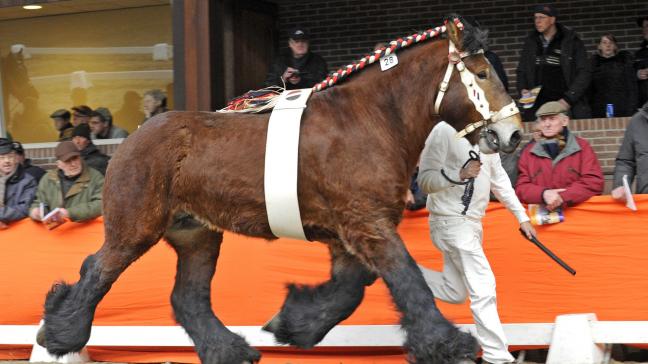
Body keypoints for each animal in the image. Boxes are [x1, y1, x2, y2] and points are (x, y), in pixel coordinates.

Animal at [40, 15, 524, 362]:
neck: (370, 121)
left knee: (187, 297)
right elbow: (406, 278)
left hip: (196, 235)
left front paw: (293, 323)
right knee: (96, 270)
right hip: (135, 229)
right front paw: (448, 344)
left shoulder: (350, 233)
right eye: (482, 73)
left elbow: (351, 289)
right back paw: (58, 332)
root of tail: (128, 140)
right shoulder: (366, 224)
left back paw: (229, 350)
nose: (515, 133)